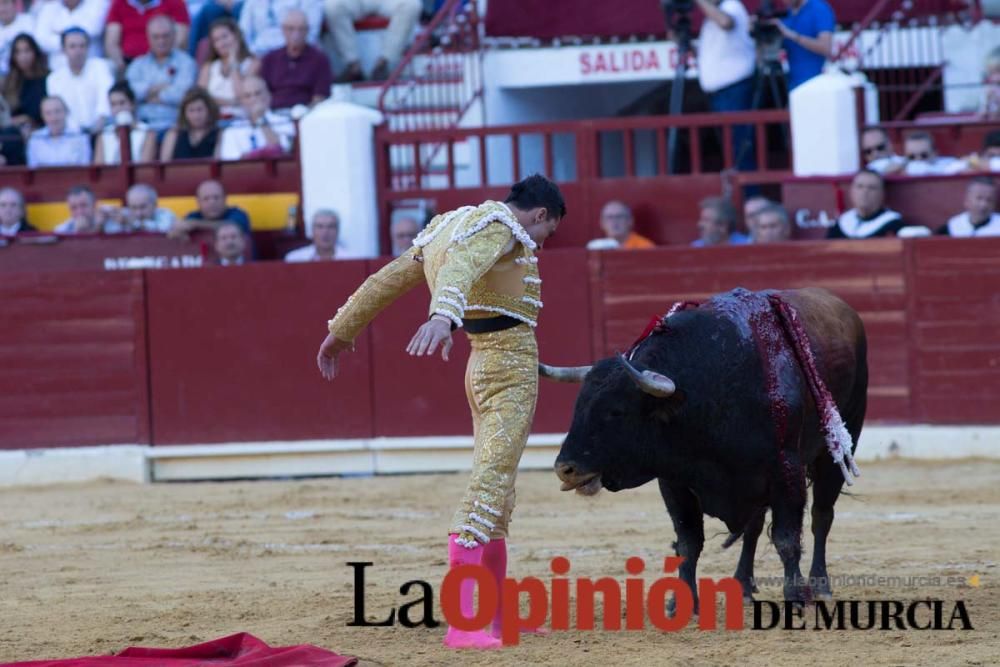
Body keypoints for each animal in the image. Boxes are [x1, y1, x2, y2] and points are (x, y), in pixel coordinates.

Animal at [540, 284, 868, 608]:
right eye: (579, 406)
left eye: (616, 411)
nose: (565, 468)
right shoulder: (674, 481)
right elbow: (688, 542)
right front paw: (681, 602)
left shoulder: (786, 471)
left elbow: (787, 538)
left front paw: (797, 597)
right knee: (754, 526)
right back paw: (743, 584)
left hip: (838, 444)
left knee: (821, 515)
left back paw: (820, 585)